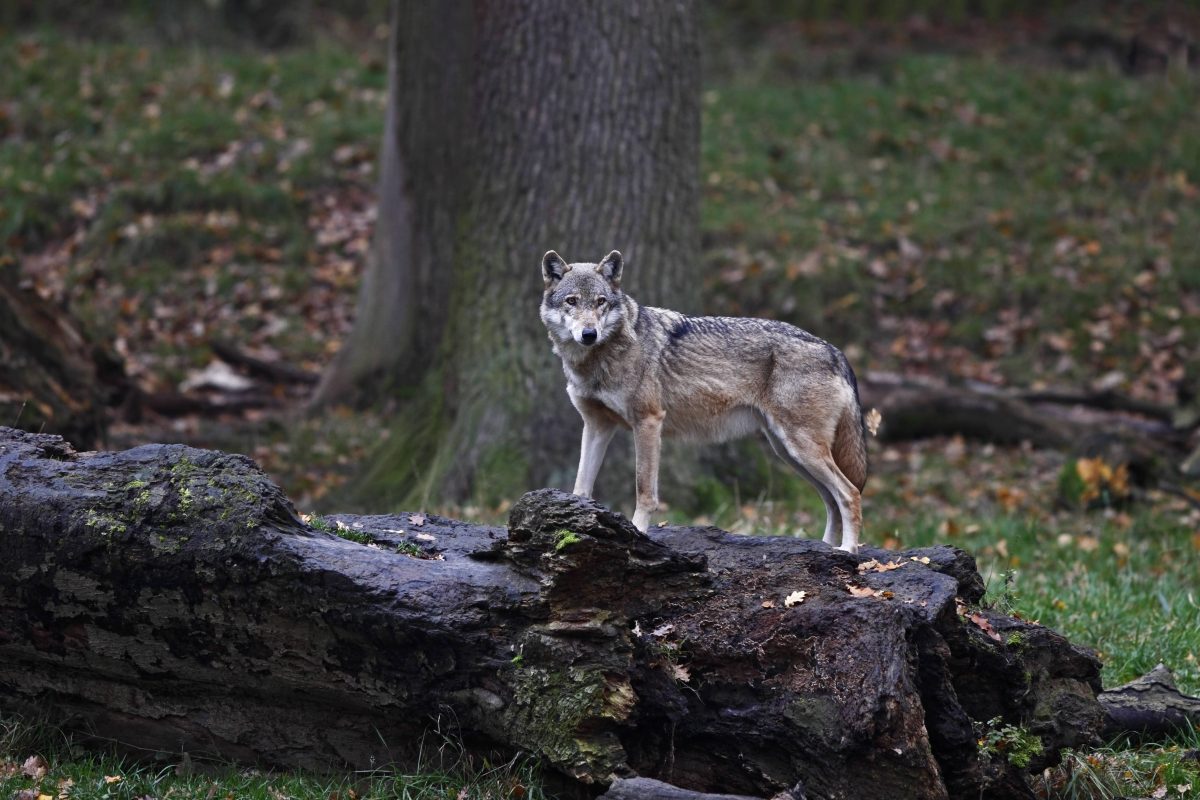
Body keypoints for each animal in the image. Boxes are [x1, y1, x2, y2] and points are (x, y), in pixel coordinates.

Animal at [540, 248, 868, 551]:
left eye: (600, 302)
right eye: (572, 301)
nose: (589, 334)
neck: (597, 359)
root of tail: (834, 351)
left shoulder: (648, 422)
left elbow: (645, 492)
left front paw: (639, 534)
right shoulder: (597, 426)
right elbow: (581, 488)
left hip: (801, 448)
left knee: (849, 493)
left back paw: (847, 551)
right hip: (789, 452)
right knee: (831, 499)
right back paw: (826, 548)